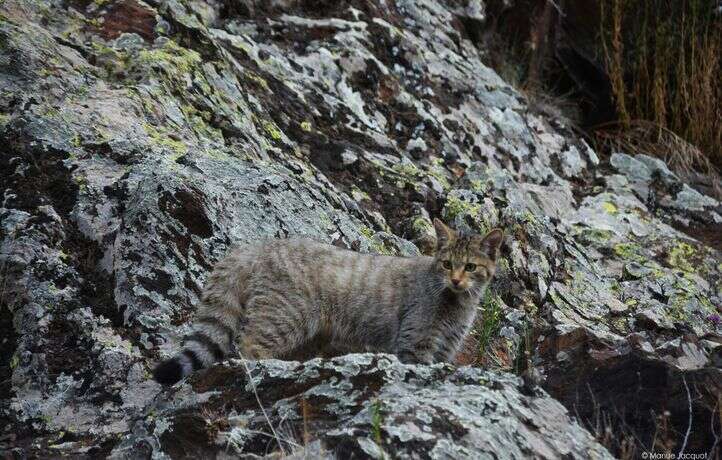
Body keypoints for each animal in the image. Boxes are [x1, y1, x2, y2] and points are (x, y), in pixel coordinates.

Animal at [152, 219, 500, 384]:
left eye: (470, 267)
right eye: (446, 264)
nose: (456, 280)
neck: (456, 305)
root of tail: (259, 245)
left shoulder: (445, 351)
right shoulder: (416, 346)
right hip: (284, 317)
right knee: (249, 345)